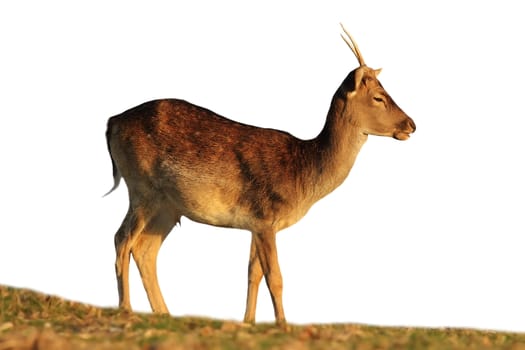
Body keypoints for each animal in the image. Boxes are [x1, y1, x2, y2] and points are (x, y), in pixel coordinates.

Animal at [104, 25, 416, 328]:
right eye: (378, 97)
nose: (411, 124)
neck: (303, 175)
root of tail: (111, 122)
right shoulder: (267, 217)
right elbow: (275, 277)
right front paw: (282, 324)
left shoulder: (254, 223)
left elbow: (253, 274)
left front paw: (249, 321)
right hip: (142, 188)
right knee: (122, 238)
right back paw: (126, 309)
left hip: (168, 207)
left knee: (145, 250)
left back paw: (164, 314)